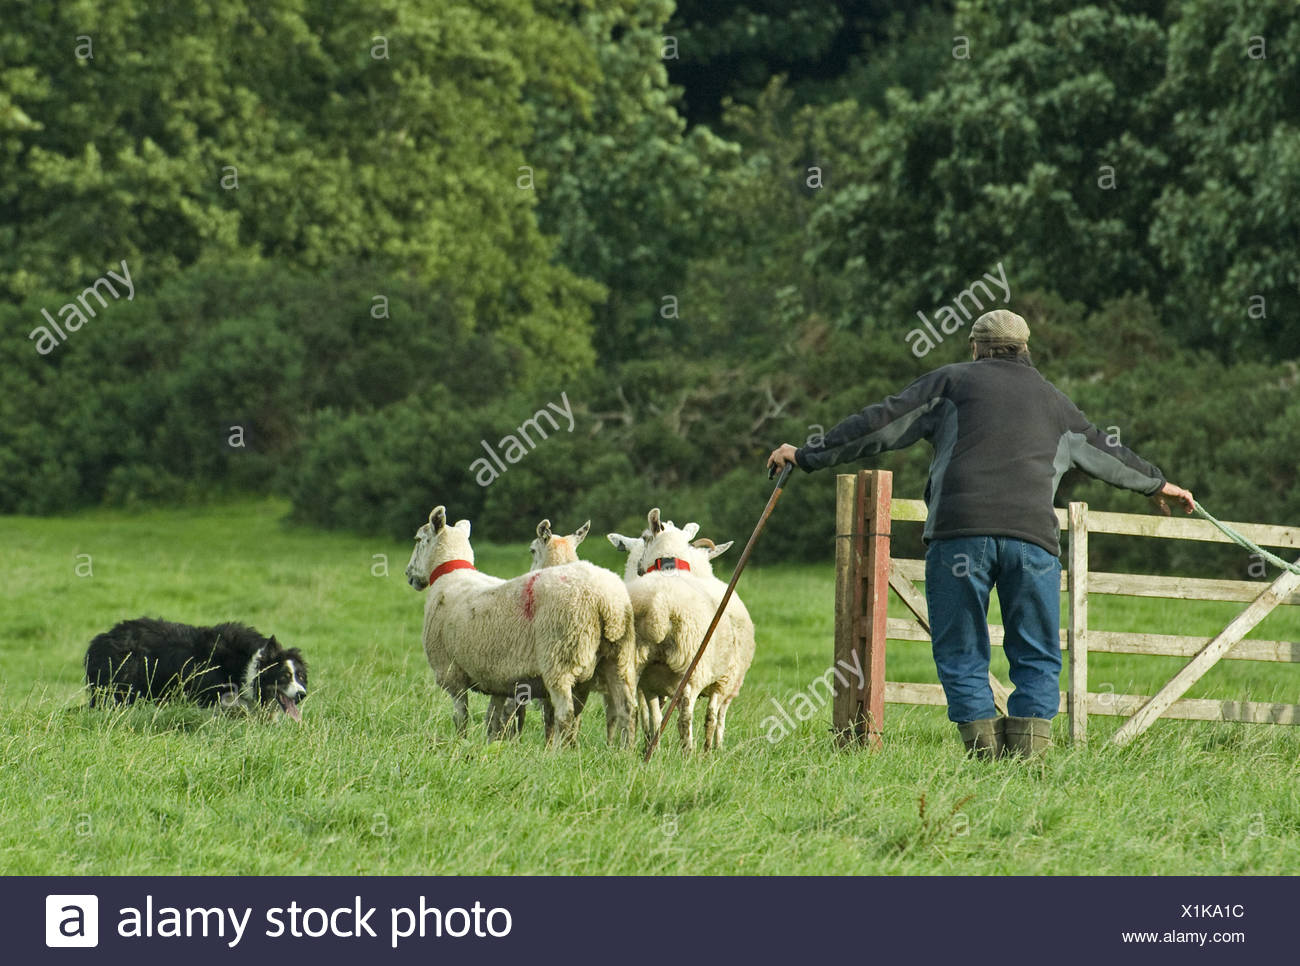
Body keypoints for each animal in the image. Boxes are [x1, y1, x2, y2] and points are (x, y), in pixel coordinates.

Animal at [86, 618, 309, 717]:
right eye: (284, 676)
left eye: (300, 676)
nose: (302, 694)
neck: (248, 665)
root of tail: (100, 640)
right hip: (121, 690)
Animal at [400, 507, 634, 748]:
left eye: (418, 539)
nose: (409, 575)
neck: (451, 575)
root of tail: (604, 601)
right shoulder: (497, 678)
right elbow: (493, 719)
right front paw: (493, 745)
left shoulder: (451, 673)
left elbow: (461, 717)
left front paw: (460, 743)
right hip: (619, 657)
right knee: (626, 708)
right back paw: (624, 750)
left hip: (559, 658)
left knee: (565, 714)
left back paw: (559, 752)